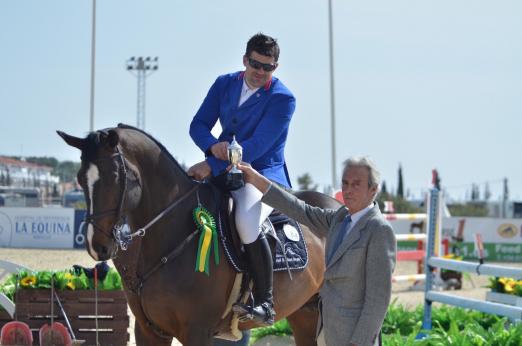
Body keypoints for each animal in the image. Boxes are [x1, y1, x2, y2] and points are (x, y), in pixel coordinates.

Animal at [58, 125, 342, 346]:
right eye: (80, 178)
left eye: (116, 176)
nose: (97, 245)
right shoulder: (148, 331)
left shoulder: (197, 331)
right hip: (305, 313)